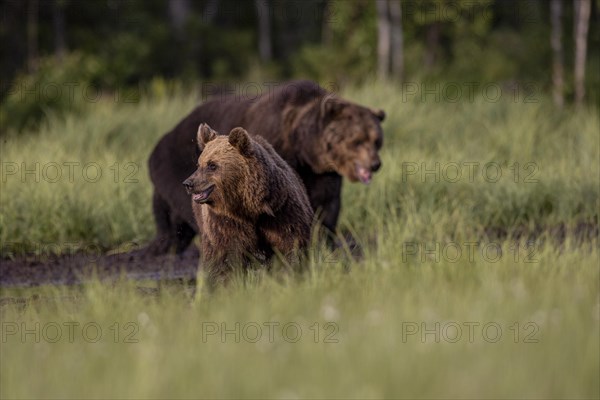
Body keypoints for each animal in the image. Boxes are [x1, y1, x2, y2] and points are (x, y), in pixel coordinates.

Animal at [149, 80, 384, 255]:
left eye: (377, 140)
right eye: (357, 140)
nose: (375, 164)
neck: (303, 148)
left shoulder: (323, 173)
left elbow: (326, 204)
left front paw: (324, 242)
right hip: (174, 164)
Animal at [183, 124, 314, 284]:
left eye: (212, 165)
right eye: (199, 164)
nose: (188, 183)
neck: (249, 207)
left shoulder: (281, 212)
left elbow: (290, 244)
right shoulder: (225, 221)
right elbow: (227, 255)